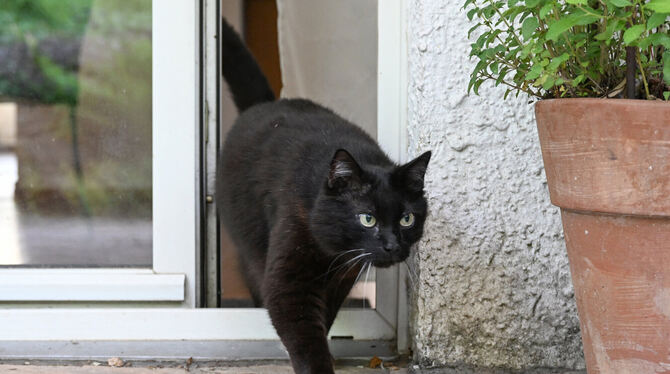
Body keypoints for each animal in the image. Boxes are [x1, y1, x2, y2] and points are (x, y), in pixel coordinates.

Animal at [218, 19, 434, 374]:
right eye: (367, 218)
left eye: (407, 219)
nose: (392, 245)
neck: (332, 251)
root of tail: (266, 104)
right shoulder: (291, 276)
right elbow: (302, 328)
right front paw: (315, 363)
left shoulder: (343, 275)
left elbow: (323, 317)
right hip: (250, 241)